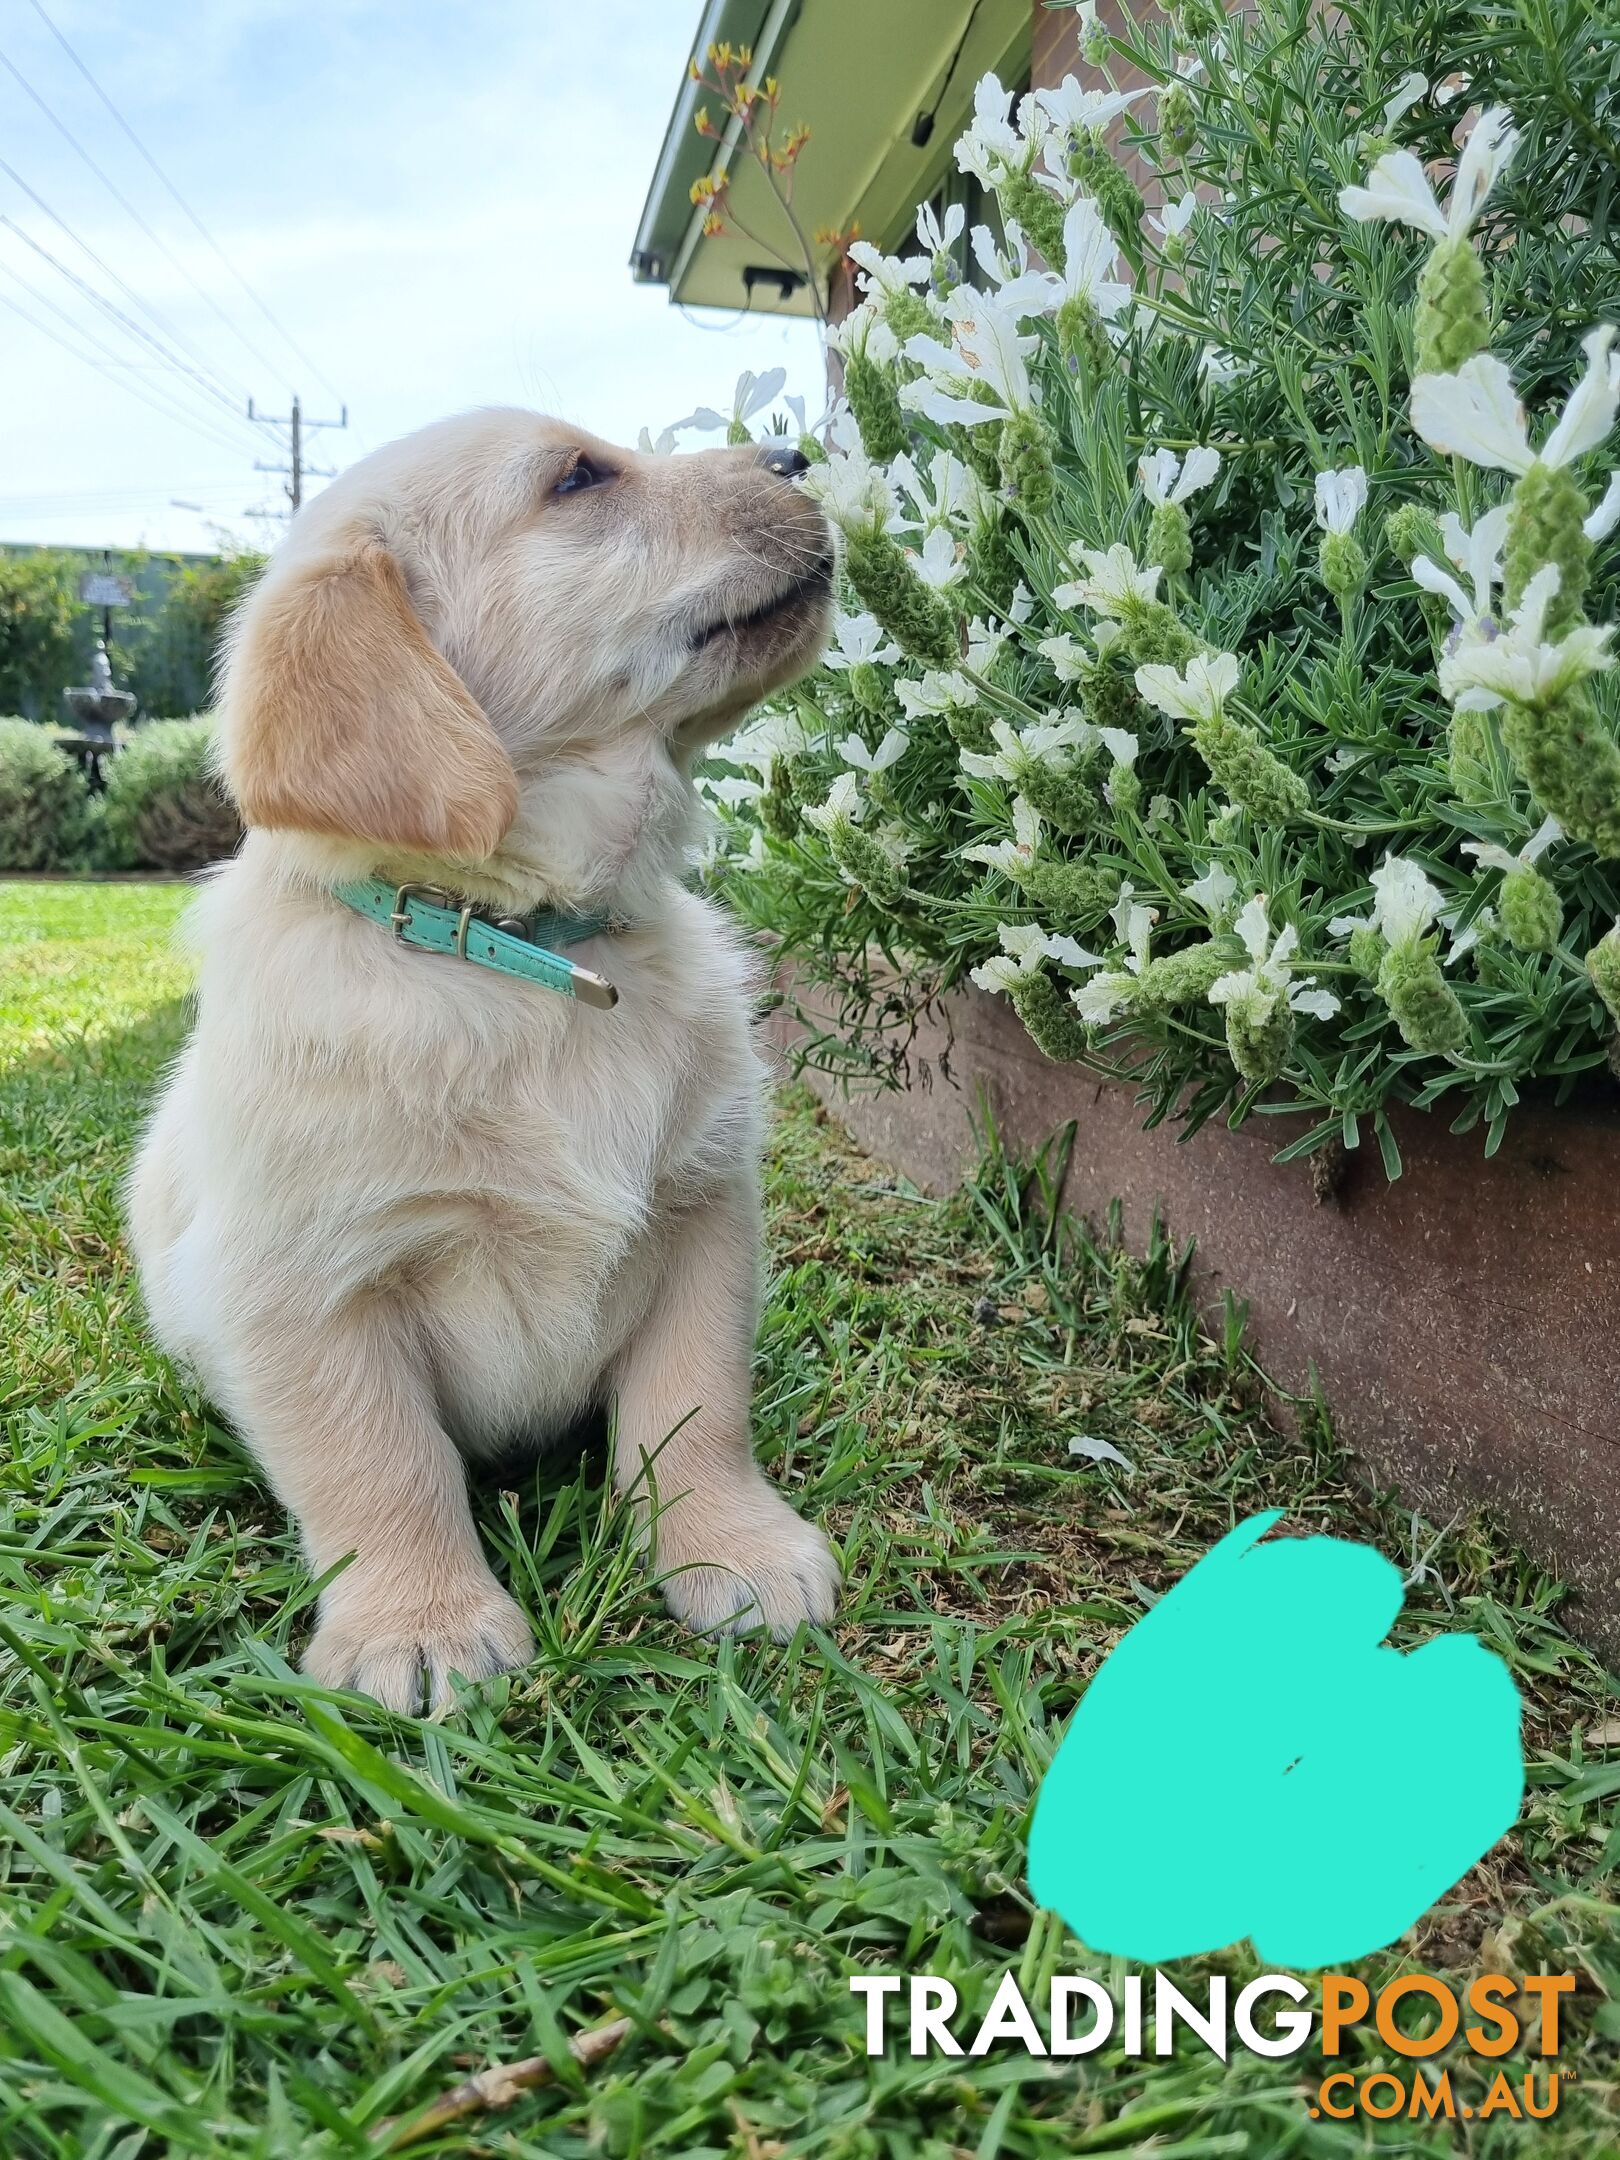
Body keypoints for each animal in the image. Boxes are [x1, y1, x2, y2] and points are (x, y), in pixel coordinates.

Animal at [130, 412, 838, 1710]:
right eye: (578, 477)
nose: (799, 456)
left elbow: (696, 1407)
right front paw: (424, 1625)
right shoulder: (305, 1289)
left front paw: (732, 1547)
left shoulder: (704, 1214)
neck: (525, 957)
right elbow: (381, 1464)